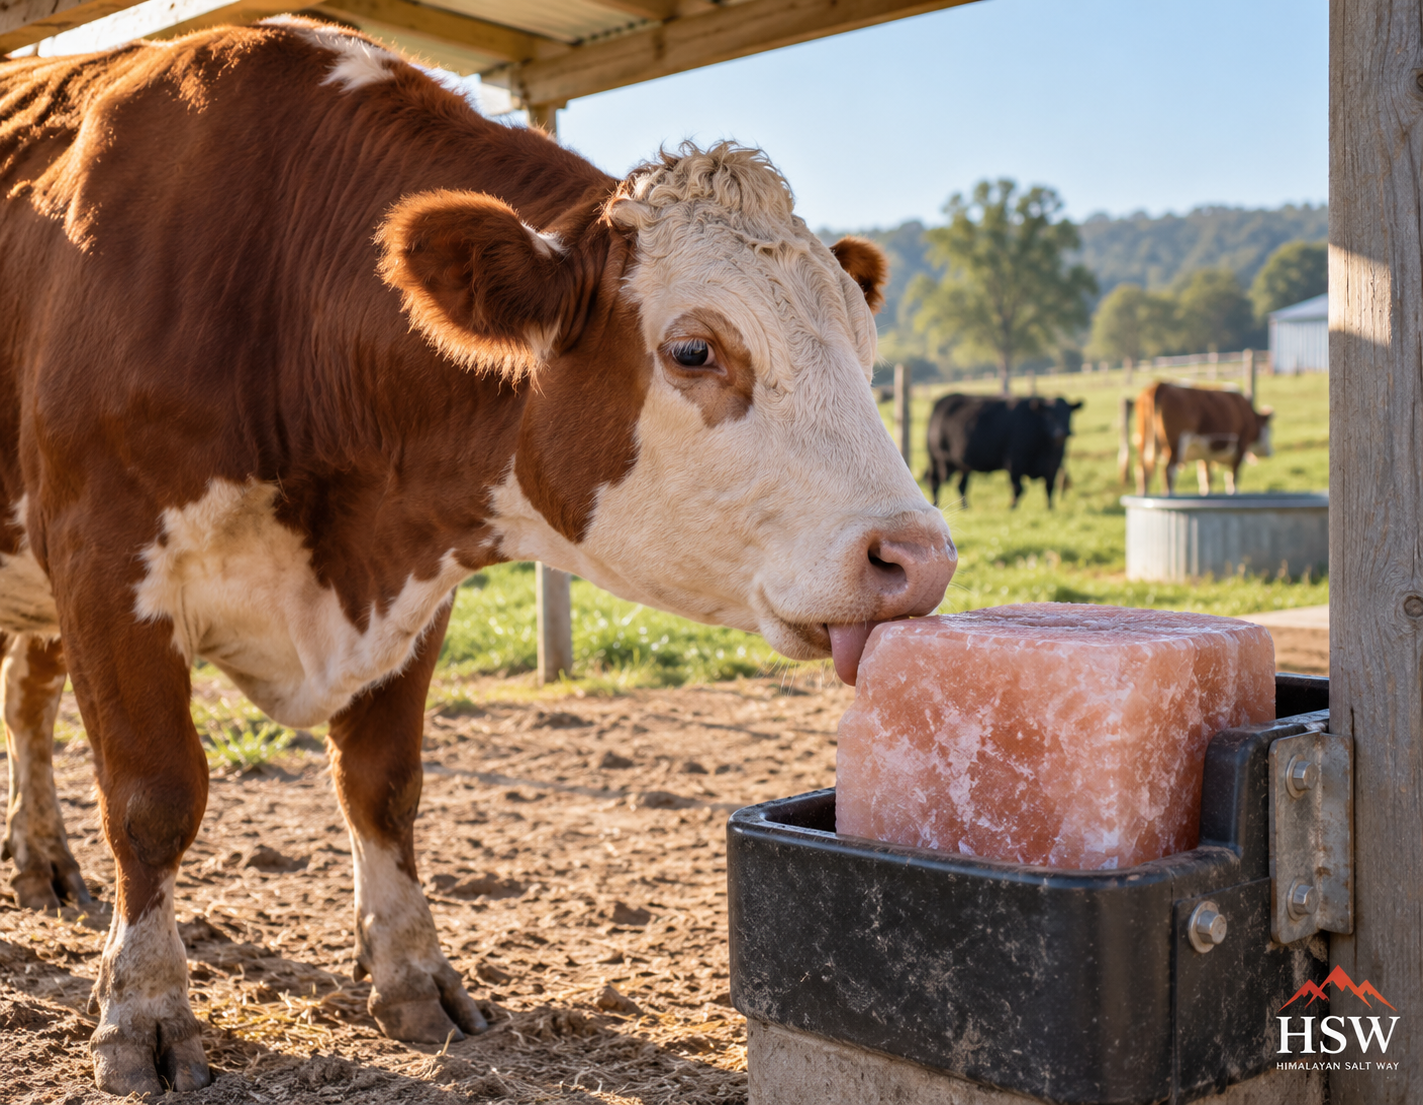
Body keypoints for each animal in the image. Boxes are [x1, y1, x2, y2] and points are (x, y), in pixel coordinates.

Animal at [0, 21, 956, 1094]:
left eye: (864, 343)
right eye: (693, 350)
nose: (916, 557)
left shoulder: (417, 586)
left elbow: (383, 785)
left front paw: (414, 975)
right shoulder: (104, 559)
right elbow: (153, 796)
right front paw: (145, 1010)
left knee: (26, 695)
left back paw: (40, 858)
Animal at [925, 394, 1083, 509]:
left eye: (1068, 414)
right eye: (1049, 415)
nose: (1063, 433)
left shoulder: (1053, 466)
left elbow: (1050, 488)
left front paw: (1050, 508)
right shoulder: (1014, 463)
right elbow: (1018, 488)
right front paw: (1012, 507)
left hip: (961, 465)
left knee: (961, 485)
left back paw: (965, 507)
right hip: (938, 459)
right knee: (934, 481)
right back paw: (935, 505)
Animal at [1133, 382, 1274, 495]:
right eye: (1270, 430)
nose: (1270, 452)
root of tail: (1160, 385)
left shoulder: (1205, 456)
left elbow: (1206, 479)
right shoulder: (1240, 448)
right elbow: (1232, 478)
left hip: (1144, 444)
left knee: (1143, 472)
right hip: (1176, 446)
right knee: (1168, 472)